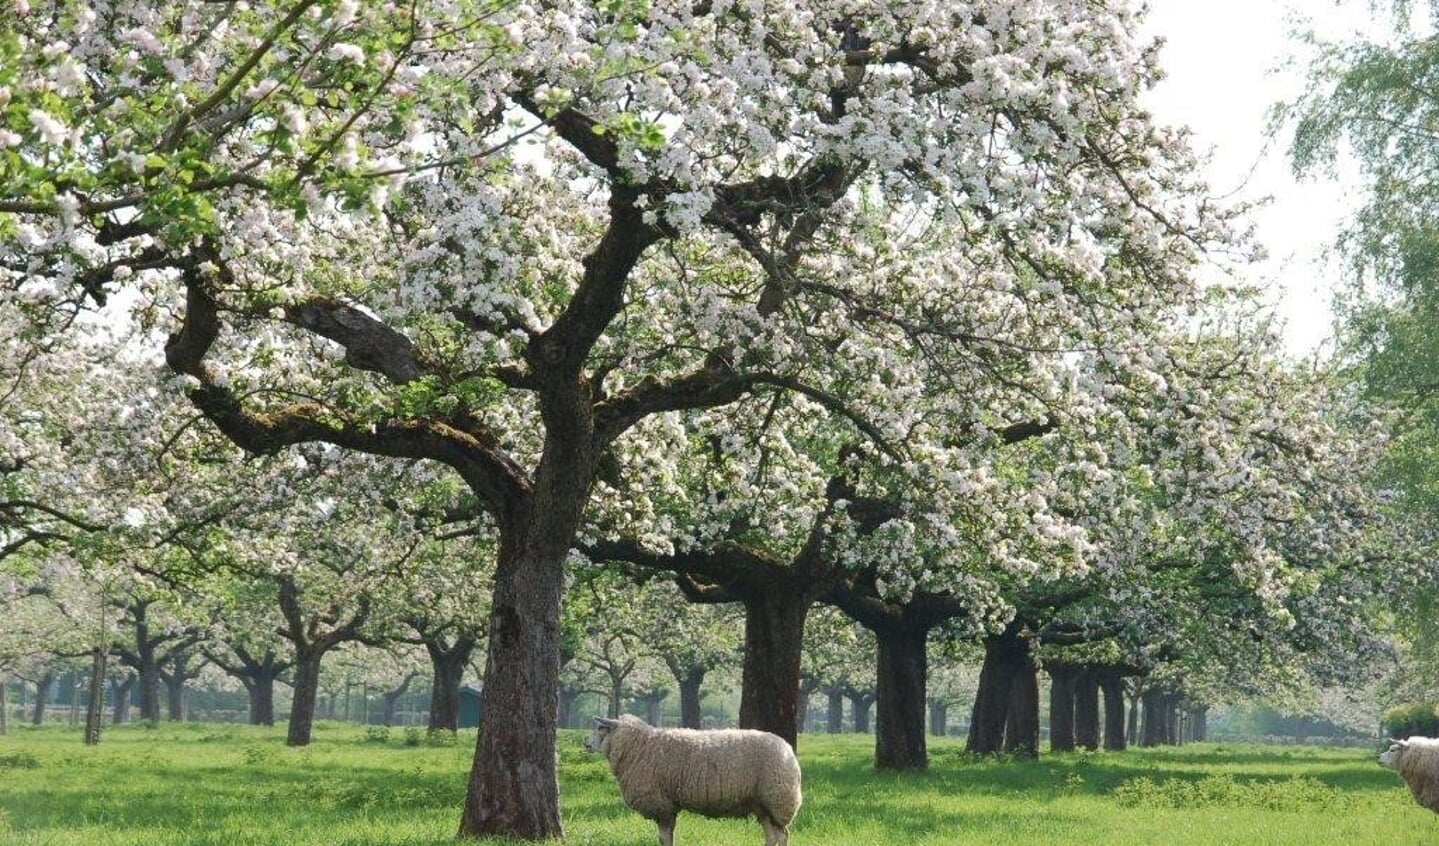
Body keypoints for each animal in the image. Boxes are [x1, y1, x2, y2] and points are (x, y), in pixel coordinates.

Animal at [587, 713, 811, 846]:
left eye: (600, 729)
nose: (584, 742)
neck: (640, 745)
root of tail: (789, 751)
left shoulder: (662, 805)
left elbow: (664, 838)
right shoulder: (669, 805)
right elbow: (667, 836)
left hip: (778, 799)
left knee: (782, 835)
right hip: (763, 805)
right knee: (773, 836)